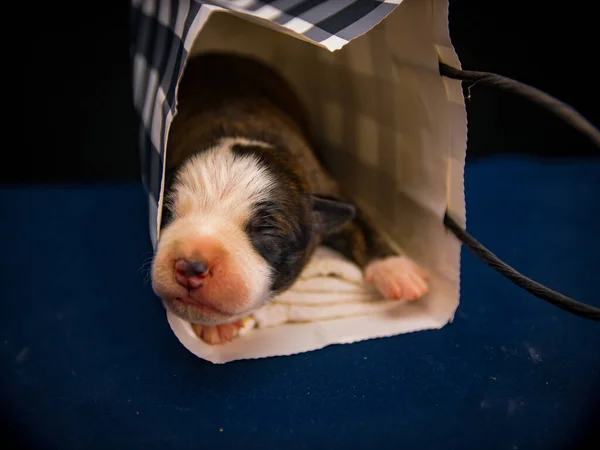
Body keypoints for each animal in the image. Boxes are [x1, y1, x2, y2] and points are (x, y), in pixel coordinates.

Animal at [152, 52, 428, 342]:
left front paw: (397, 271)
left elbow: (363, 225)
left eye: (266, 232)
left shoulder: (325, 189)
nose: (190, 267)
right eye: (167, 214)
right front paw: (216, 326)